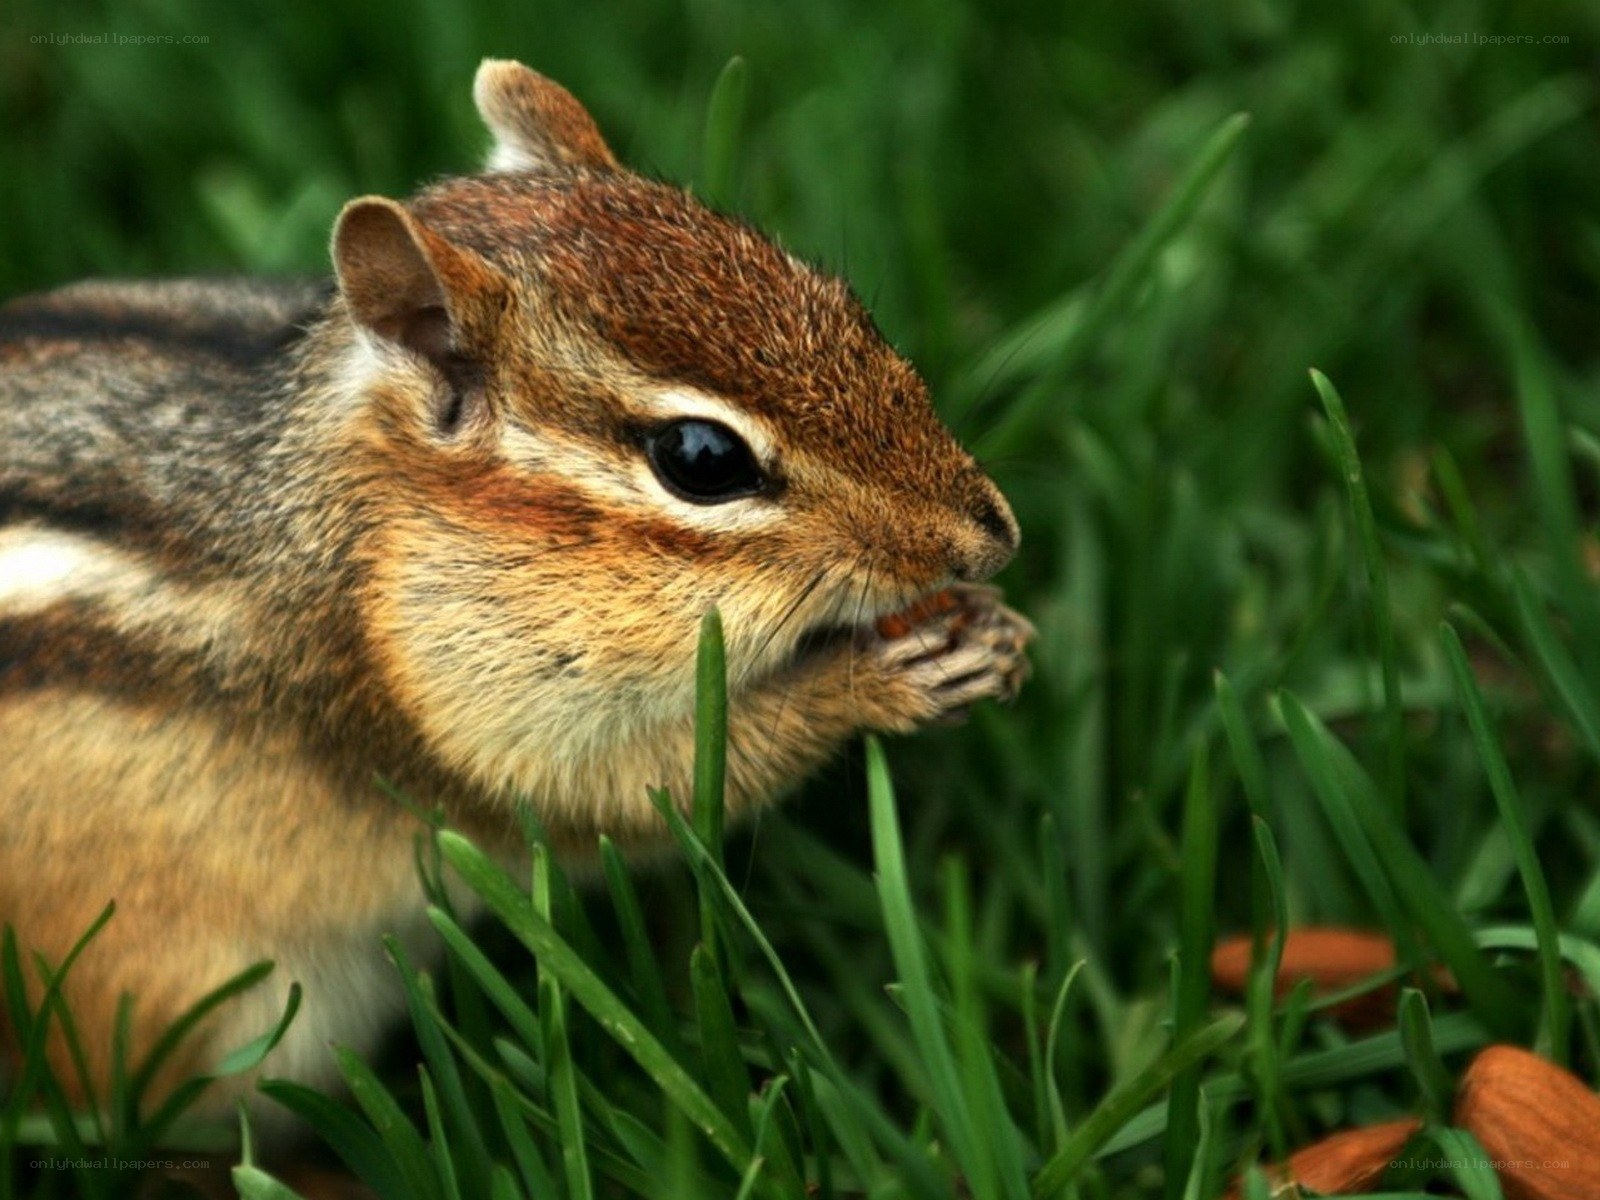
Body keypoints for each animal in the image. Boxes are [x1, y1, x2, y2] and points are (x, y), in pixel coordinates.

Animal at [0, 60, 1033, 1136]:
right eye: (701, 459)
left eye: (838, 301)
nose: (992, 536)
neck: (364, 527)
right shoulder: (478, 721)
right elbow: (653, 788)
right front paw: (879, 679)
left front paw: (993, 631)